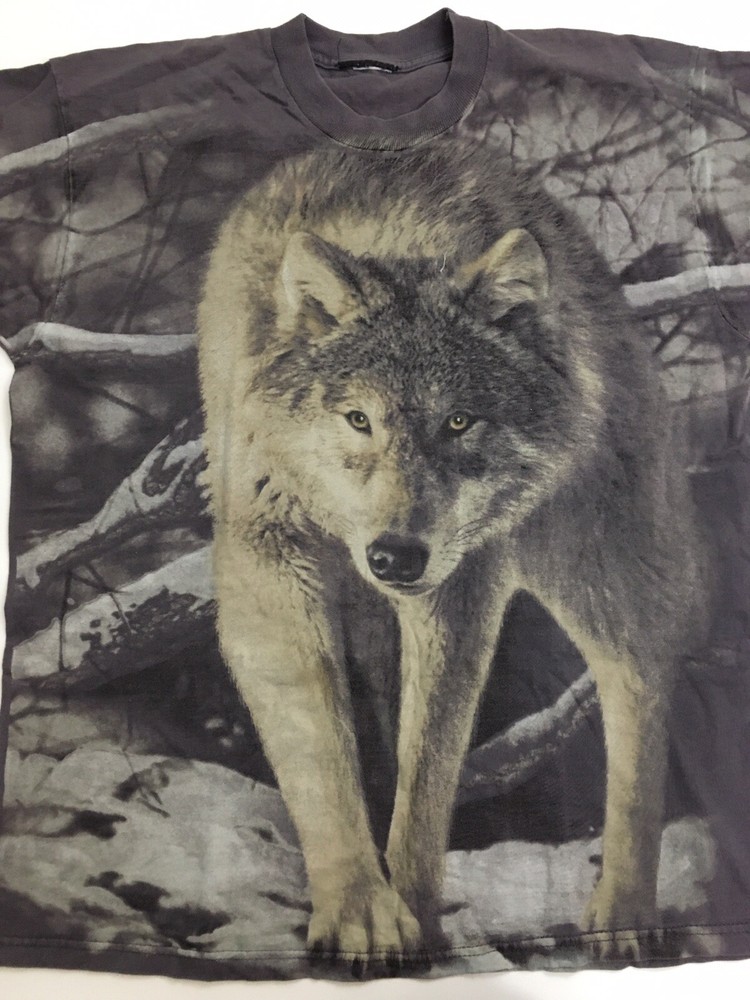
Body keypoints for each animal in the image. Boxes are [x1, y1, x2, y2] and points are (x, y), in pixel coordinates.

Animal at [195, 137, 713, 970]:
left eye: (460, 422)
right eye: (359, 419)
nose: (395, 558)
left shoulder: (461, 586)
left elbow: (429, 771)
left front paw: (412, 920)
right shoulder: (270, 565)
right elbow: (321, 758)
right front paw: (363, 916)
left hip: (597, 573)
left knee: (638, 689)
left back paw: (624, 913)